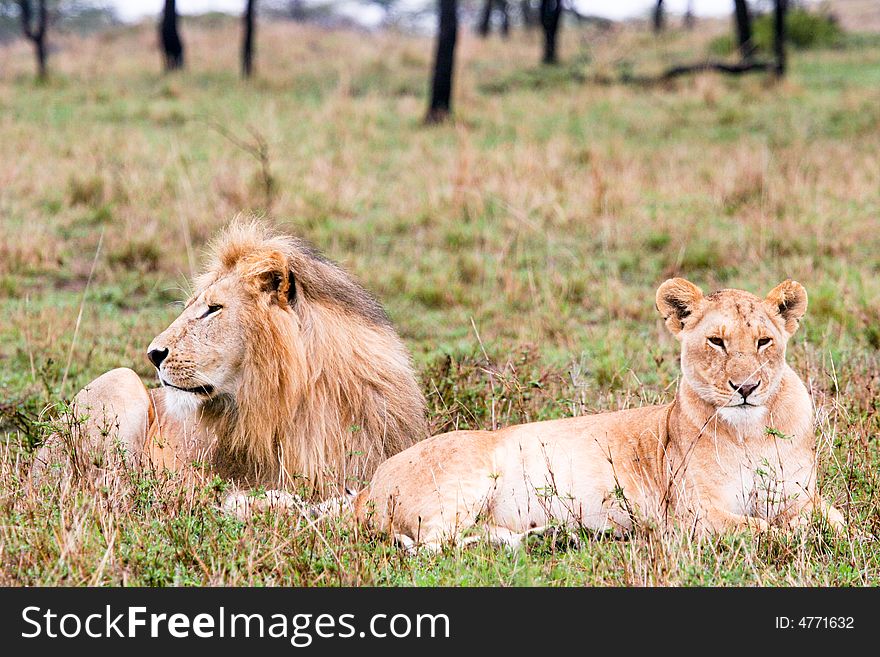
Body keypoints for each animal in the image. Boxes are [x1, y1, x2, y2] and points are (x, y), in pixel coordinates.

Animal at [358, 278, 844, 548]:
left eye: (763, 341)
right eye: (717, 342)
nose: (745, 388)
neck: (750, 433)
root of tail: (368, 485)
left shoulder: (800, 494)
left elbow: (835, 519)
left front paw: (820, 529)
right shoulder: (694, 514)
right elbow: (762, 530)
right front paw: (793, 534)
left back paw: (550, 536)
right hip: (465, 480)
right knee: (433, 543)